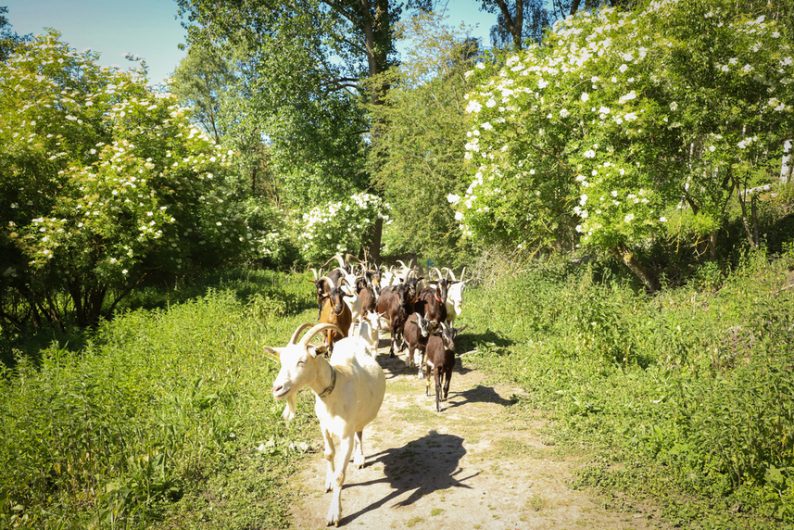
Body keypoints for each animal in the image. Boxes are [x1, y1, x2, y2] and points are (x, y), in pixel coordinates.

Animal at [266, 320, 384, 520]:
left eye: (302, 361)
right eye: (281, 361)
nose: (277, 388)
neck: (334, 391)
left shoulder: (346, 434)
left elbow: (340, 475)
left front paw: (334, 513)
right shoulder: (324, 426)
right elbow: (328, 454)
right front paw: (328, 482)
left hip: (361, 417)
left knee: (359, 432)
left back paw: (359, 458)